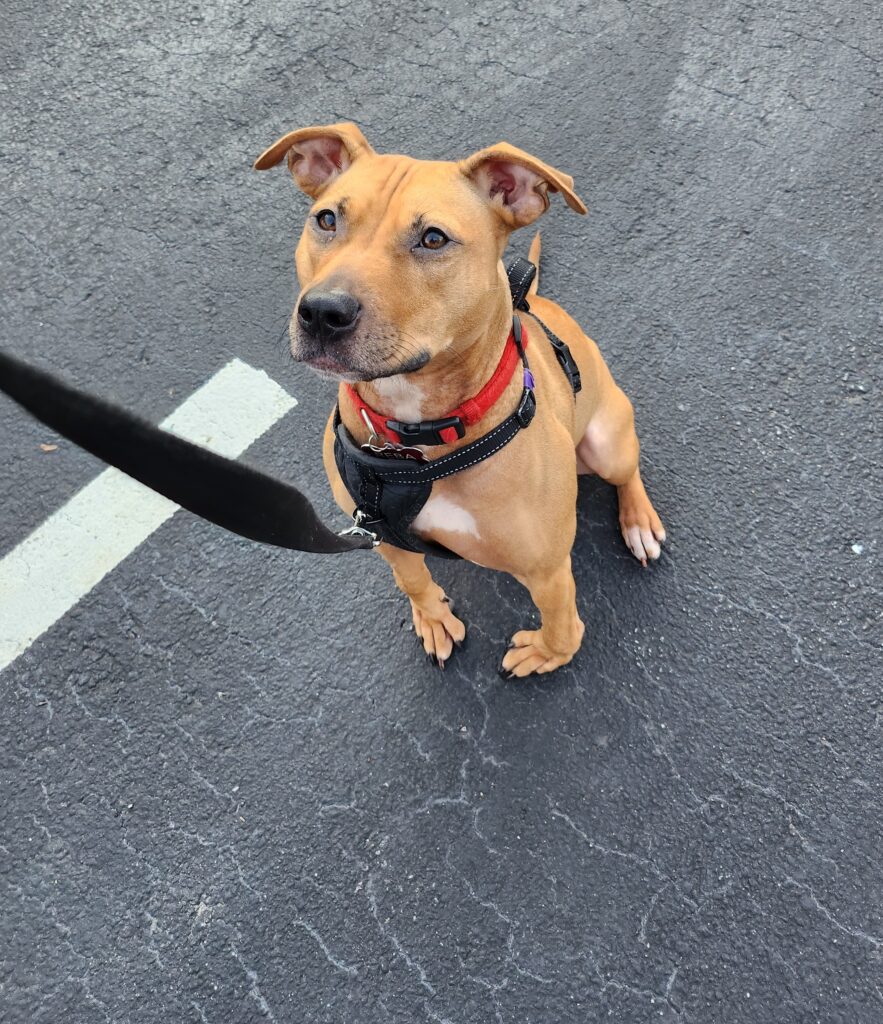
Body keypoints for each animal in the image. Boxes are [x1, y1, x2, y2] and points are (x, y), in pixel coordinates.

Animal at [254, 121, 663, 679]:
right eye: (327, 219)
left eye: (433, 238)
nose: (321, 312)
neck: (415, 439)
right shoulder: (381, 535)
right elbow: (412, 580)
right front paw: (432, 619)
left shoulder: (548, 567)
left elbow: (565, 628)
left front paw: (544, 655)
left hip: (607, 440)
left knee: (628, 473)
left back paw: (639, 521)